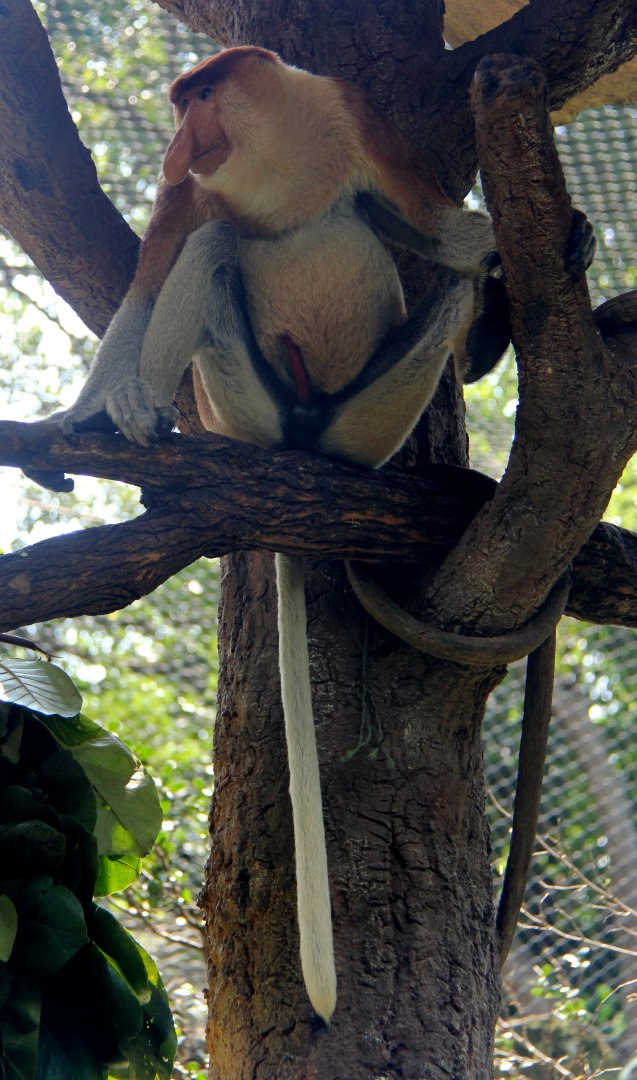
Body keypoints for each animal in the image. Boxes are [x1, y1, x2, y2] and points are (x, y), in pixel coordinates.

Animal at [34, 47, 593, 1021]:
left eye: (198, 98)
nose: (179, 141)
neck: (278, 152)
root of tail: (300, 443)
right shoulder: (188, 193)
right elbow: (155, 271)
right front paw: (84, 415)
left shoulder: (358, 118)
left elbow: (446, 236)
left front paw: (568, 240)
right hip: (243, 401)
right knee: (213, 249)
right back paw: (135, 423)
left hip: (371, 416)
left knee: (447, 286)